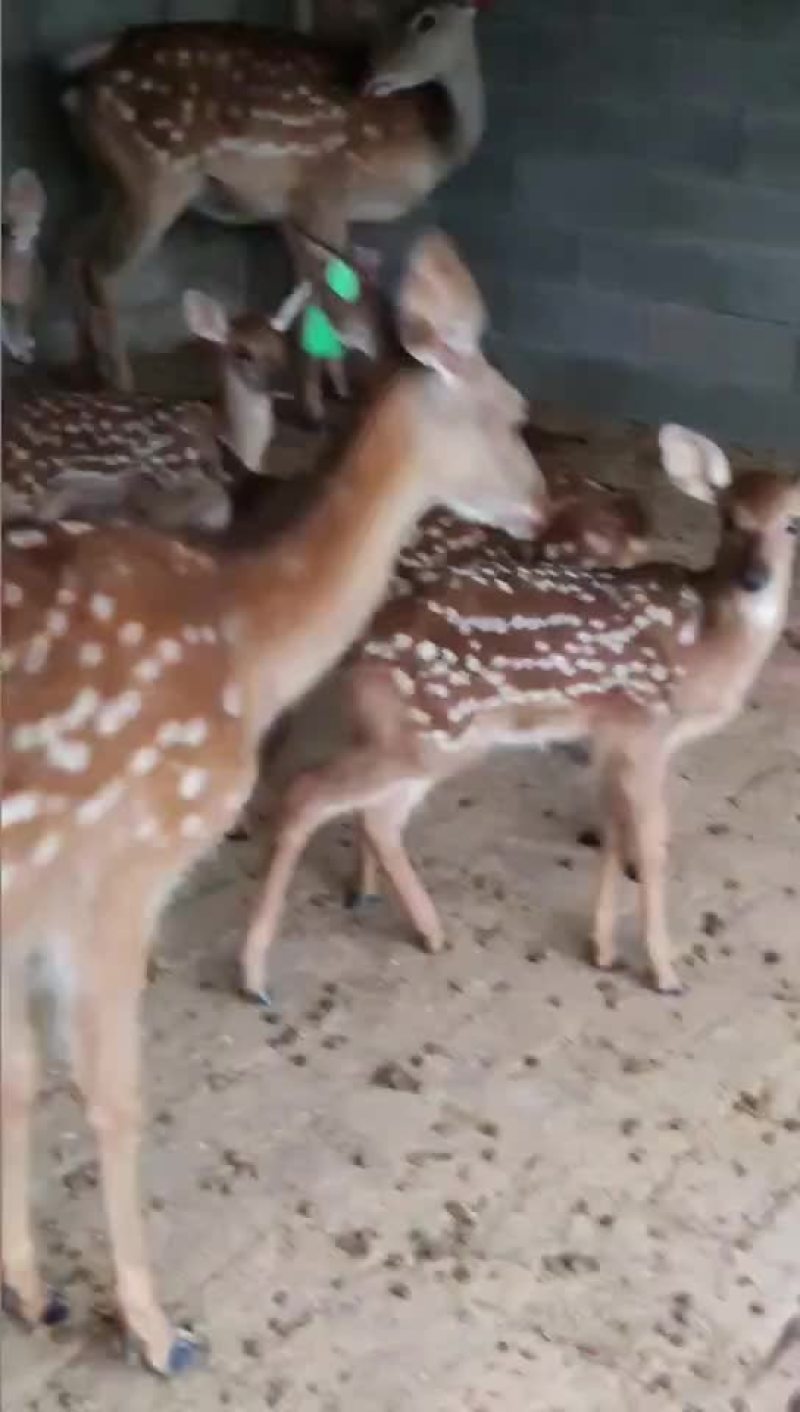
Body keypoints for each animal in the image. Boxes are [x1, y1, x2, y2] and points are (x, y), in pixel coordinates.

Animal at [0, 231, 545, 1376]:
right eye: (513, 411)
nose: (544, 507)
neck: (245, 639)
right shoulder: (123, 859)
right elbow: (113, 1094)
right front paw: (155, 1329)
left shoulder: (33, 894)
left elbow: (19, 1077)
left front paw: (30, 1290)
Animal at [60, 0, 488, 390]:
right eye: (384, 22)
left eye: (427, 20)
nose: (372, 76)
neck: (431, 144)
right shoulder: (326, 191)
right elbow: (333, 296)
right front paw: (332, 394)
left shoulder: (290, 210)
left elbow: (311, 291)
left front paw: (321, 389)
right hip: (158, 174)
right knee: (103, 271)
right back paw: (122, 382)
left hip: (111, 180)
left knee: (76, 253)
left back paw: (88, 369)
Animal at [240, 424, 800, 1001]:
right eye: (730, 518)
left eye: (793, 522)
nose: (754, 578)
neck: (707, 642)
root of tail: (364, 648)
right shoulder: (644, 729)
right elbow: (651, 844)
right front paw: (664, 972)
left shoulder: (610, 735)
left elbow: (614, 830)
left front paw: (602, 949)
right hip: (430, 735)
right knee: (308, 794)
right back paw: (256, 975)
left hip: (423, 738)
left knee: (377, 816)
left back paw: (427, 930)